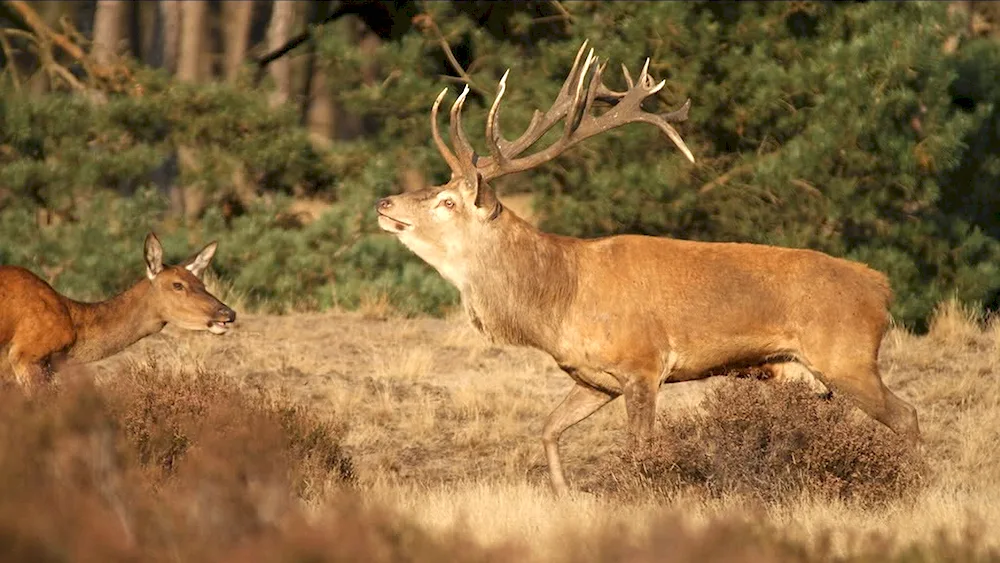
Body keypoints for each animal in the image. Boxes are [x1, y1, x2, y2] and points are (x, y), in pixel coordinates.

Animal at [376, 41, 920, 496]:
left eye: (447, 201)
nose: (384, 202)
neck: (559, 300)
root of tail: (881, 287)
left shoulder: (643, 363)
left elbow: (641, 449)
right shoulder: (593, 377)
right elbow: (548, 429)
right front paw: (565, 495)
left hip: (847, 356)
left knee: (908, 415)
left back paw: (914, 483)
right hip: (805, 374)